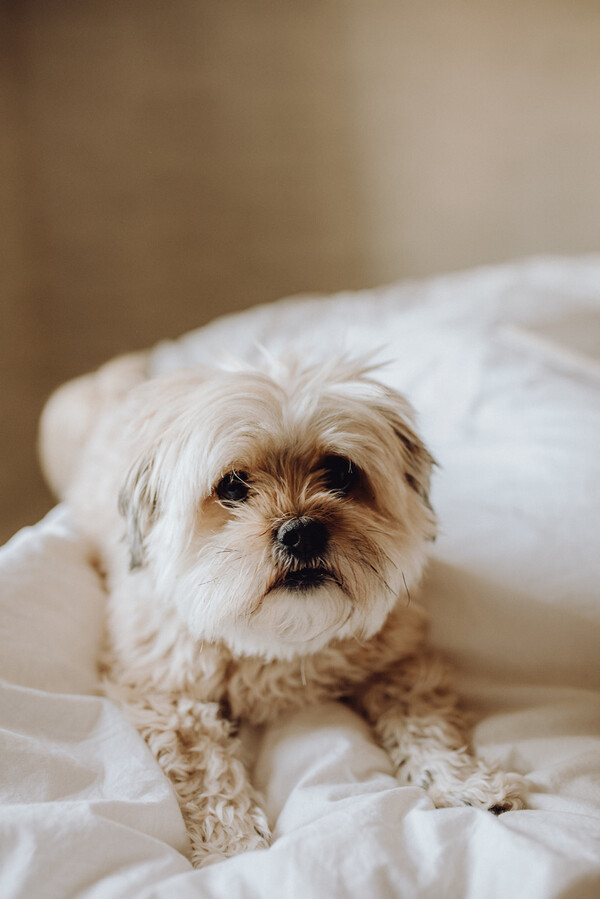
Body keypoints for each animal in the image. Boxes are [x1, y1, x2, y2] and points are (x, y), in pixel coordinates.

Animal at [38, 350, 524, 864]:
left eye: (341, 472)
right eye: (233, 486)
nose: (302, 532)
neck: (282, 639)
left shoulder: (400, 660)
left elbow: (425, 726)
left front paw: (463, 784)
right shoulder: (167, 694)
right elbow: (205, 770)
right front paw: (233, 845)